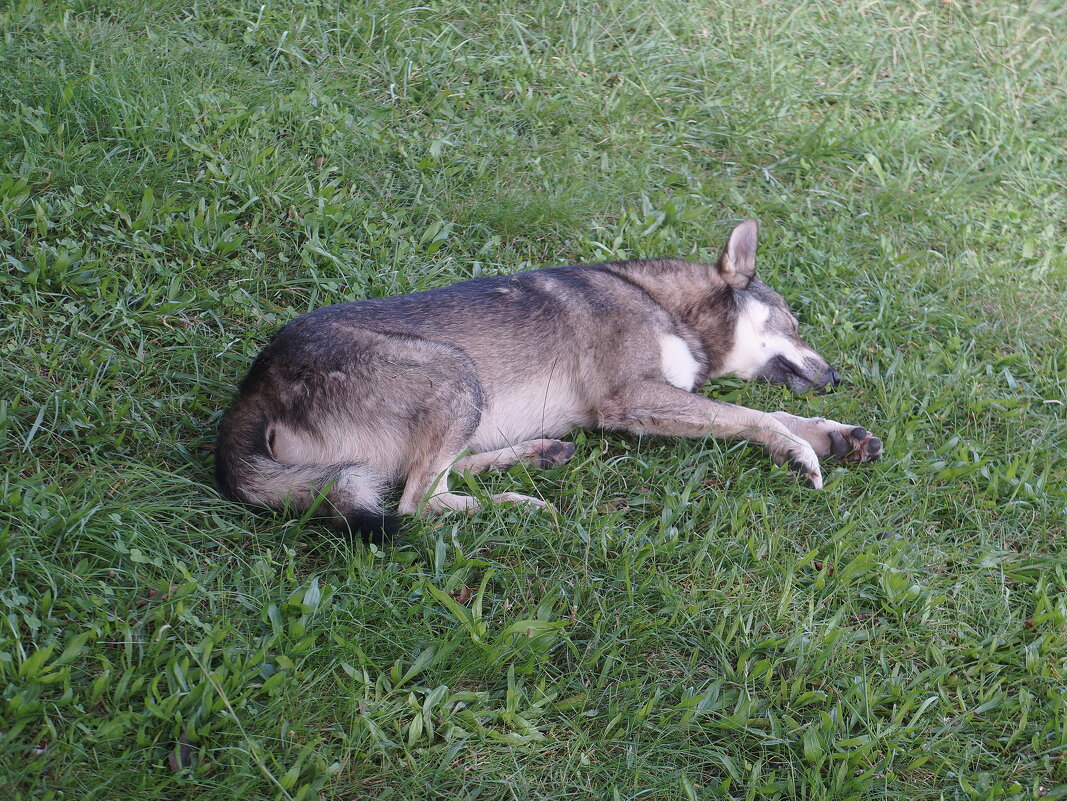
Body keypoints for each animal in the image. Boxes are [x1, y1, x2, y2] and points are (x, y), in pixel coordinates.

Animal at [216, 219, 883, 539]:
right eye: (795, 323)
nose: (835, 375)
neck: (663, 303)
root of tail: (256, 386)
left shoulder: (667, 395)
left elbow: (772, 412)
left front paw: (836, 434)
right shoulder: (631, 398)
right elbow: (757, 416)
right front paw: (799, 450)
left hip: (467, 407)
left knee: (435, 478)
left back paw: (536, 456)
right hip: (456, 373)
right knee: (417, 502)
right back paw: (517, 503)